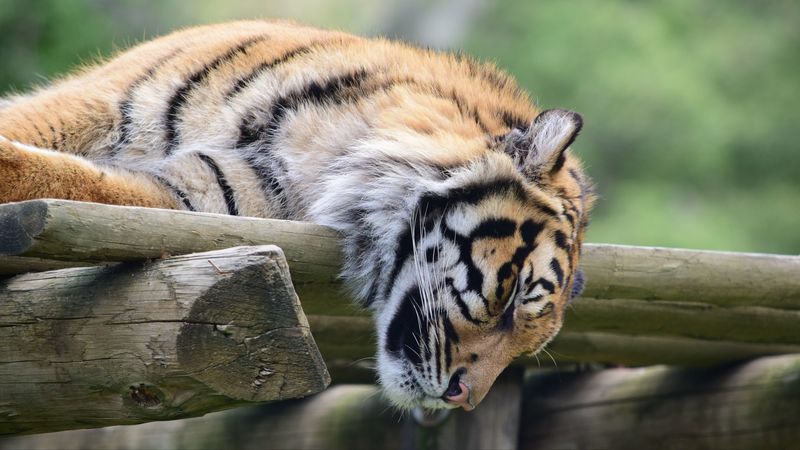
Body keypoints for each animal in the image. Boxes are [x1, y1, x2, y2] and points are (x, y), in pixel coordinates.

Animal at [0, 20, 594, 411]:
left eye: (528, 341)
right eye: (514, 296)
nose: (463, 400)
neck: (332, 153)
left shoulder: (195, 197)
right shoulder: (96, 100)